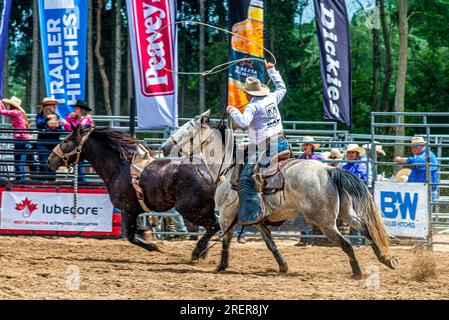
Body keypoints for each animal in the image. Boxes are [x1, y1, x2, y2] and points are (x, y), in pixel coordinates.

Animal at [47, 125, 219, 260]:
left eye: (66, 140)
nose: (50, 160)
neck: (118, 167)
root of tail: (206, 173)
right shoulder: (134, 211)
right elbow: (137, 231)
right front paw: (148, 235)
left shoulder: (127, 210)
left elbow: (130, 236)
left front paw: (155, 246)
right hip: (203, 208)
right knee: (214, 226)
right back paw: (202, 251)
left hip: (190, 210)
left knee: (213, 226)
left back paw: (197, 252)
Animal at [159, 113, 398, 280]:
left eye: (186, 130)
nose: (164, 147)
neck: (229, 165)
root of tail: (329, 170)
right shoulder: (258, 219)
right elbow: (270, 243)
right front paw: (283, 266)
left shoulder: (226, 215)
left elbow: (224, 239)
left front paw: (219, 264)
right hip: (346, 213)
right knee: (367, 229)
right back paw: (387, 259)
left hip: (325, 221)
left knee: (347, 243)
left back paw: (357, 272)